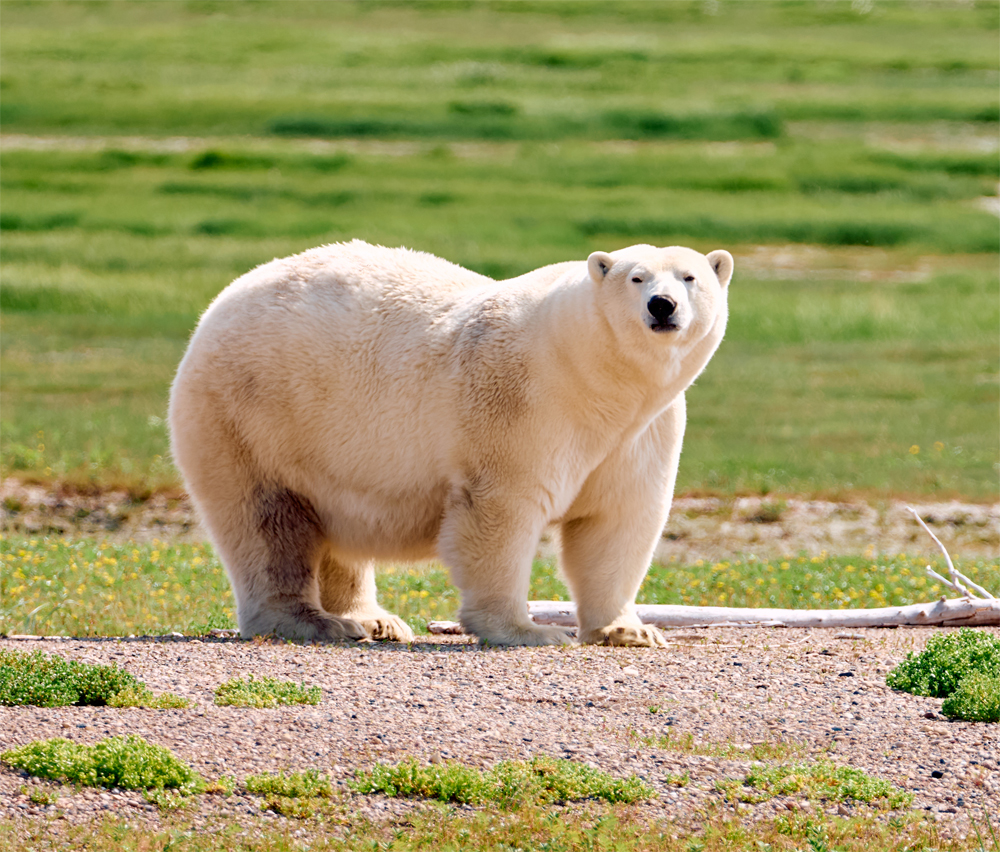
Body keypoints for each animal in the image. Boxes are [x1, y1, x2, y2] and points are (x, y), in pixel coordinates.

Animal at [168, 240, 733, 648]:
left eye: (691, 277)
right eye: (636, 277)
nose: (662, 305)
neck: (598, 382)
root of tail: (221, 303)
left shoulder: (641, 431)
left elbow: (617, 521)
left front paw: (631, 630)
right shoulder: (523, 404)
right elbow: (502, 513)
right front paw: (528, 631)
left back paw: (374, 620)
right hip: (252, 417)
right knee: (268, 521)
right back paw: (316, 622)